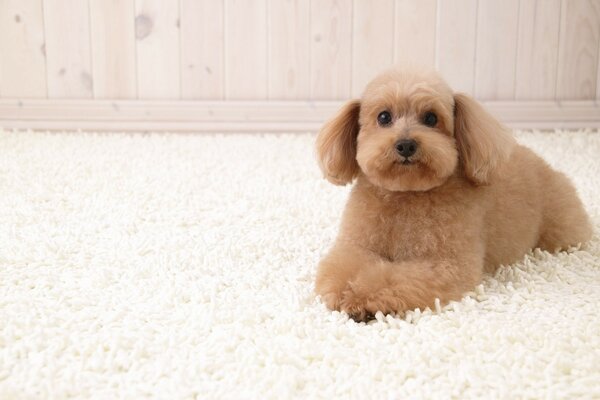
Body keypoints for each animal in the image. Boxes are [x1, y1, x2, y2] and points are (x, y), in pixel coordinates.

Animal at [314, 67, 592, 320]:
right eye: (384, 117)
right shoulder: (356, 245)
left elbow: (393, 278)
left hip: (560, 227)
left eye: (430, 118)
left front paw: (361, 296)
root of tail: (545, 164)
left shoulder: (446, 263)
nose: (406, 145)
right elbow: (342, 267)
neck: (407, 193)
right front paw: (345, 291)